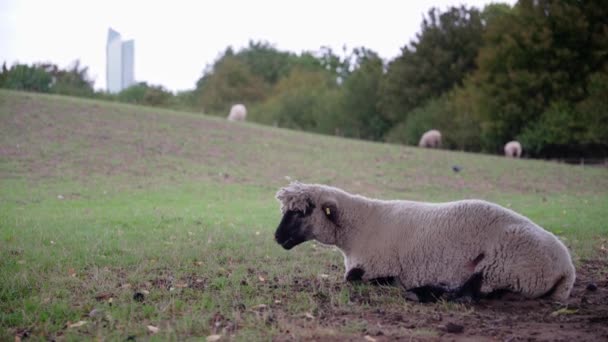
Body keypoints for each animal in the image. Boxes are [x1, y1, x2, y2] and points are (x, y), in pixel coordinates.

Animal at [274, 182, 576, 302]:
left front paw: (396, 283)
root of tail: (567, 269)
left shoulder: (376, 265)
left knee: (470, 294)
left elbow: (354, 278)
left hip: (504, 265)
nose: (277, 238)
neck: (359, 226)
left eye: (301, 212)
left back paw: (421, 292)